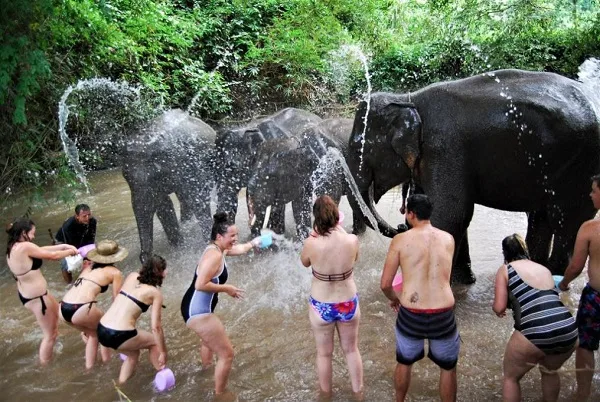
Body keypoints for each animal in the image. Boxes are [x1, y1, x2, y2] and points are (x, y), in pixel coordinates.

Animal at [121, 108, 216, 262]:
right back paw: (185, 224)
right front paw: (179, 246)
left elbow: (197, 197)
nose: (144, 257)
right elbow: (163, 205)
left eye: (154, 176)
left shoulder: (186, 162)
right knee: (183, 197)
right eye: (125, 177)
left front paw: (207, 242)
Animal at [346, 70, 600, 282]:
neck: (408, 98)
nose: (400, 226)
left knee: (566, 222)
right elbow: (452, 213)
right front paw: (463, 282)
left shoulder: (444, 148)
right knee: (541, 217)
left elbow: (450, 213)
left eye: (360, 149)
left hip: (581, 170)